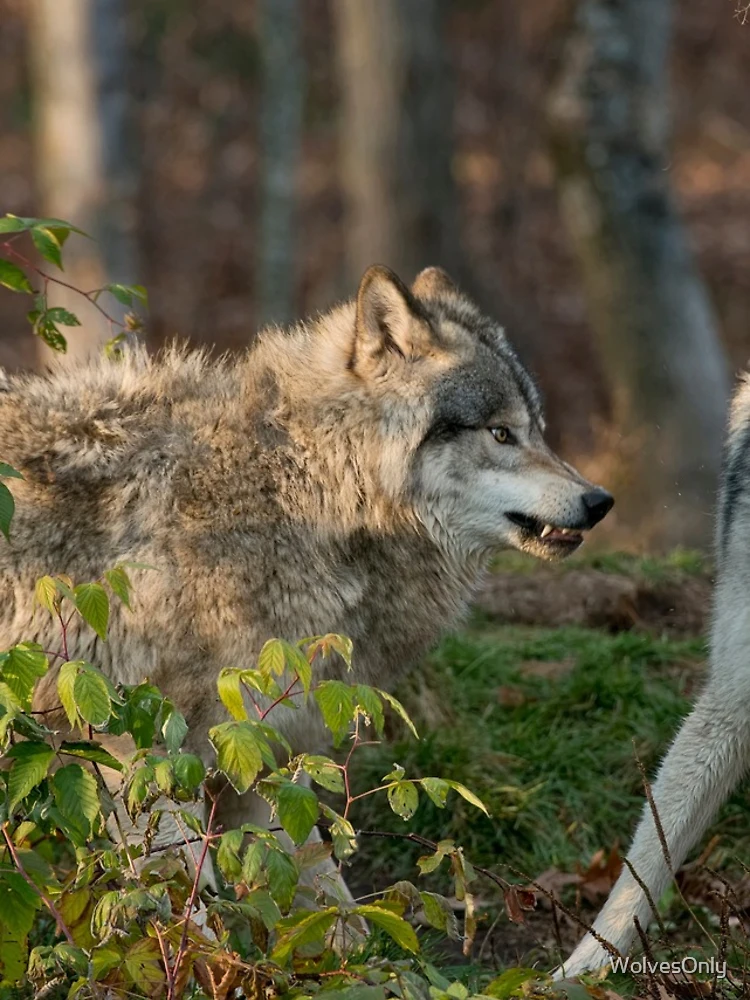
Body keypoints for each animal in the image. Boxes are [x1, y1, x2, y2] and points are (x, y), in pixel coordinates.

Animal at [0, 264, 612, 882]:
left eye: (538, 429)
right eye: (500, 433)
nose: (600, 501)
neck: (301, 490)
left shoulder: (261, 755)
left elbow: (319, 886)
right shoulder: (143, 759)